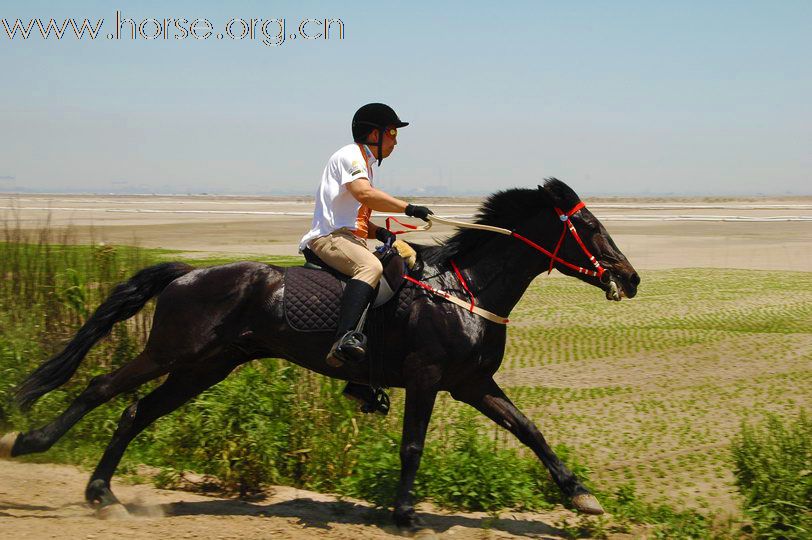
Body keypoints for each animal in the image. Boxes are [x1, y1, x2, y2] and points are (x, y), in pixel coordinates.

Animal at [1, 178, 640, 532]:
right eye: (589, 225)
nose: (630, 279)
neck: (467, 289)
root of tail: (187, 273)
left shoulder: (472, 383)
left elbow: (530, 431)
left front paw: (581, 496)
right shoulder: (428, 377)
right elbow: (412, 447)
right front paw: (404, 514)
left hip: (207, 366)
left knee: (136, 411)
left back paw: (103, 493)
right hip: (173, 352)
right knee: (102, 388)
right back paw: (36, 446)